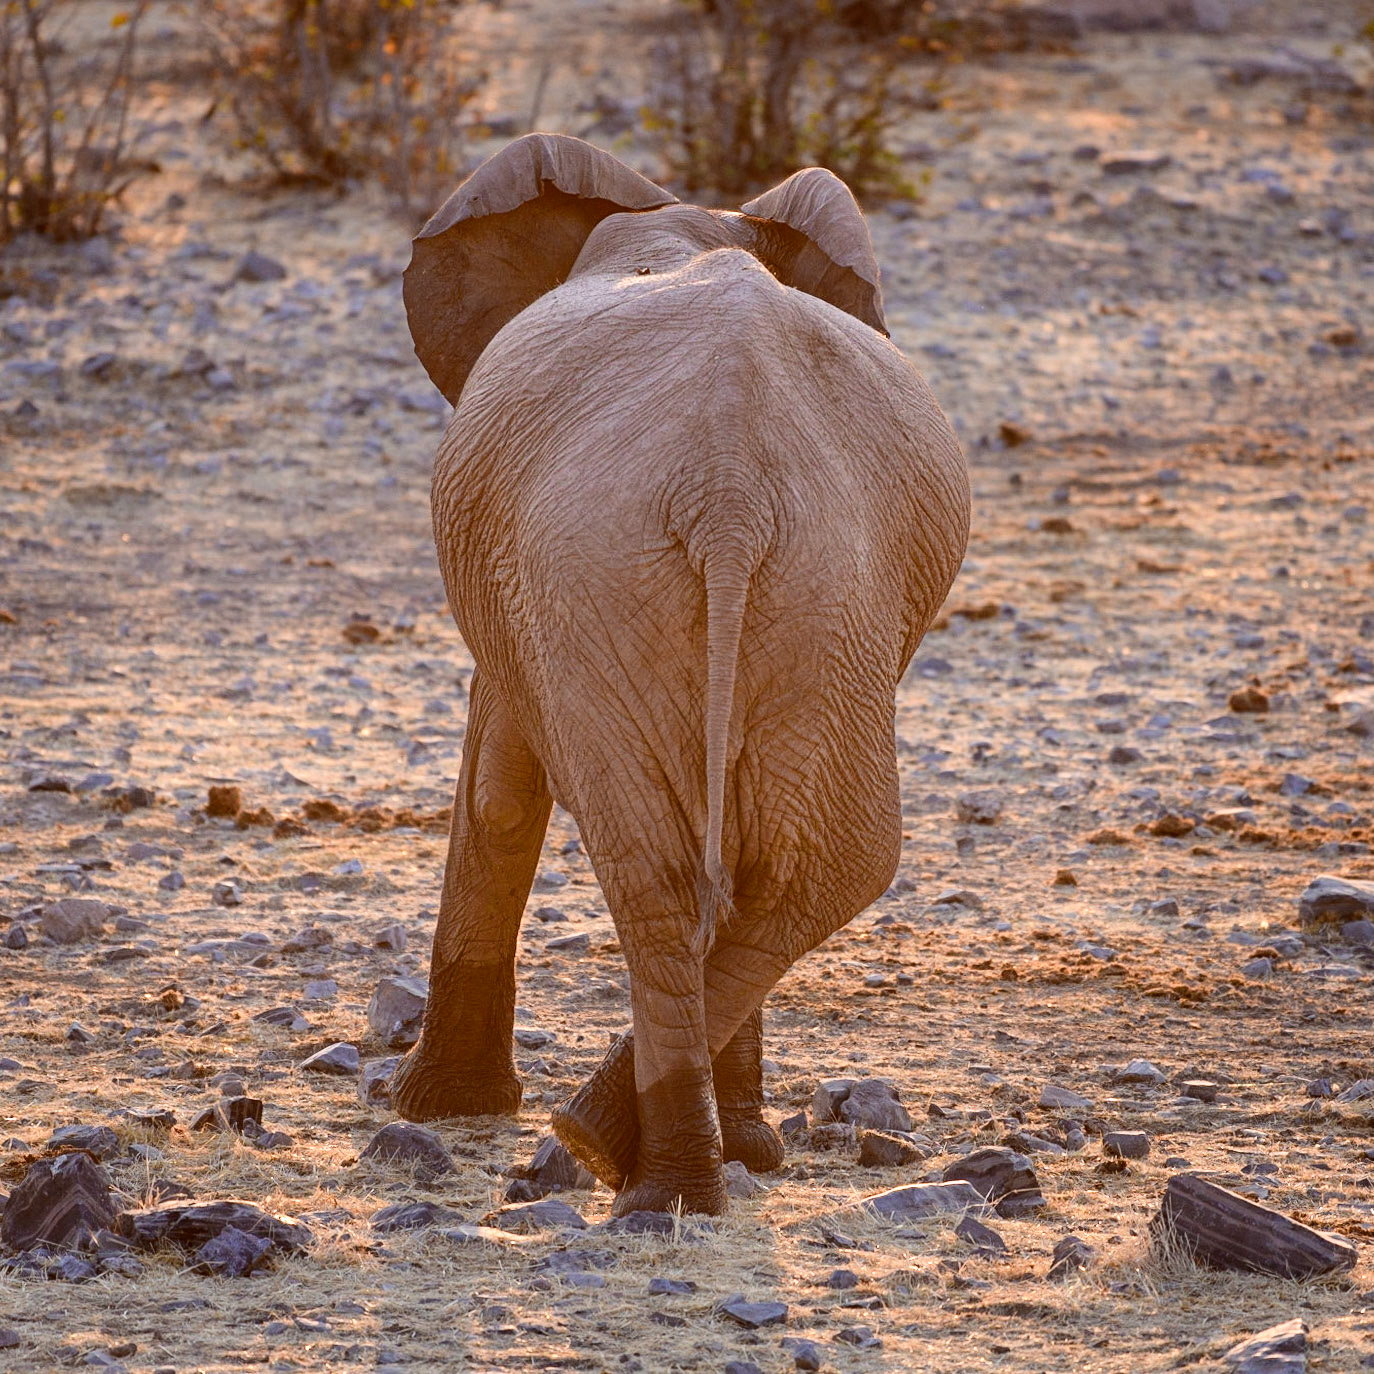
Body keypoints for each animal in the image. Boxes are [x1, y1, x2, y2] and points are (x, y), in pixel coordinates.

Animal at [388, 132, 970, 1217]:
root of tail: (727, 491)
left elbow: (496, 790)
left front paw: (437, 1111)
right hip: (812, 598)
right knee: (806, 863)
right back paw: (665, 1168)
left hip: (633, 585)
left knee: (675, 865)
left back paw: (625, 1161)